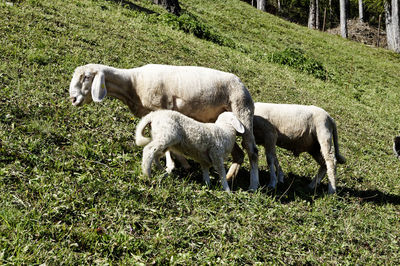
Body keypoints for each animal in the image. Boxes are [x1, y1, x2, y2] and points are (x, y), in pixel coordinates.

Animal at [69, 63, 260, 190]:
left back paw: (253, 185)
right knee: (239, 153)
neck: (133, 83)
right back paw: (229, 176)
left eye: (86, 77)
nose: (73, 99)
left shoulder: (162, 107)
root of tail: (241, 82)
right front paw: (178, 163)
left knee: (252, 151)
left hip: (242, 109)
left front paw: (171, 165)